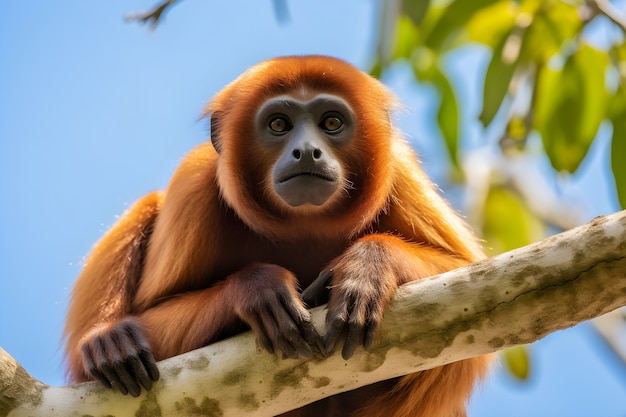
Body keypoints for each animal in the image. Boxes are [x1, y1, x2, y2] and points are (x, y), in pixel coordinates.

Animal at [64, 55, 492, 416]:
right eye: (278, 125)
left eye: (331, 123)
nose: (307, 151)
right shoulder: (196, 182)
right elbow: (153, 315)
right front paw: (259, 289)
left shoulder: (398, 170)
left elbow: (465, 275)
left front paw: (366, 269)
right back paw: (108, 343)